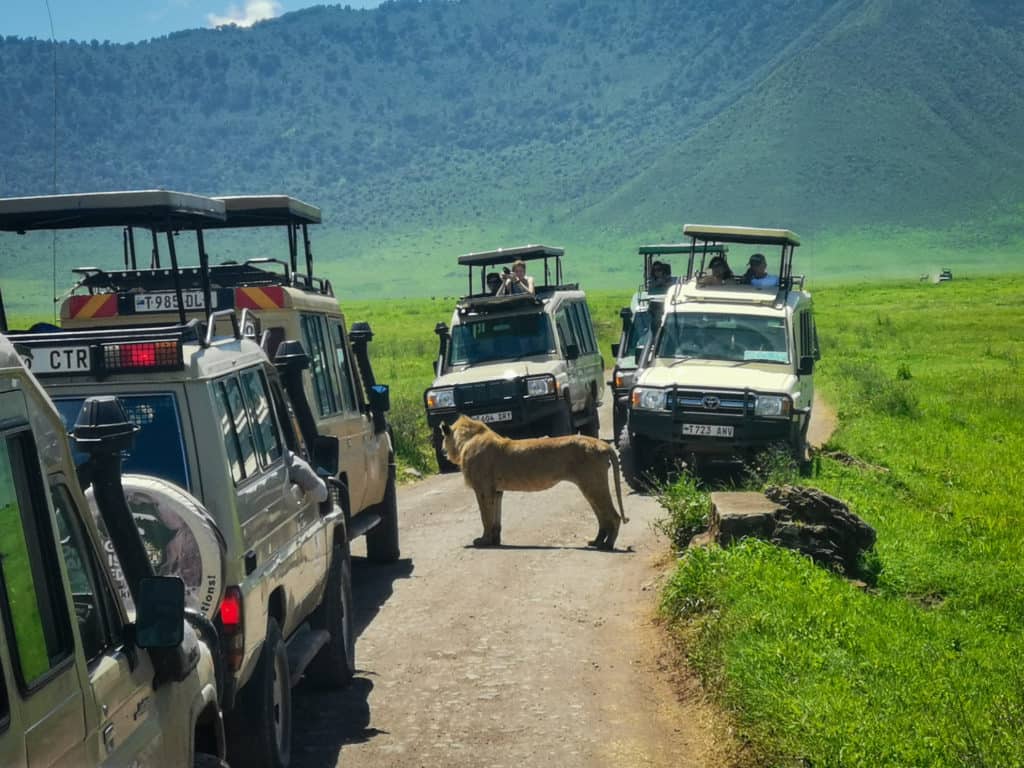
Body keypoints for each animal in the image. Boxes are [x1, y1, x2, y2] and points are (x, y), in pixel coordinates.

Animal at [442, 417, 630, 548]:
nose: (444, 452)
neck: (467, 440)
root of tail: (604, 445)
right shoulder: (496, 491)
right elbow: (496, 518)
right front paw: (495, 540)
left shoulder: (482, 489)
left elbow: (485, 517)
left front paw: (483, 541)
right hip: (590, 486)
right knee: (602, 517)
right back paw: (597, 542)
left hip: (592, 484)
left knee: (613, 516)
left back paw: (607, 545)